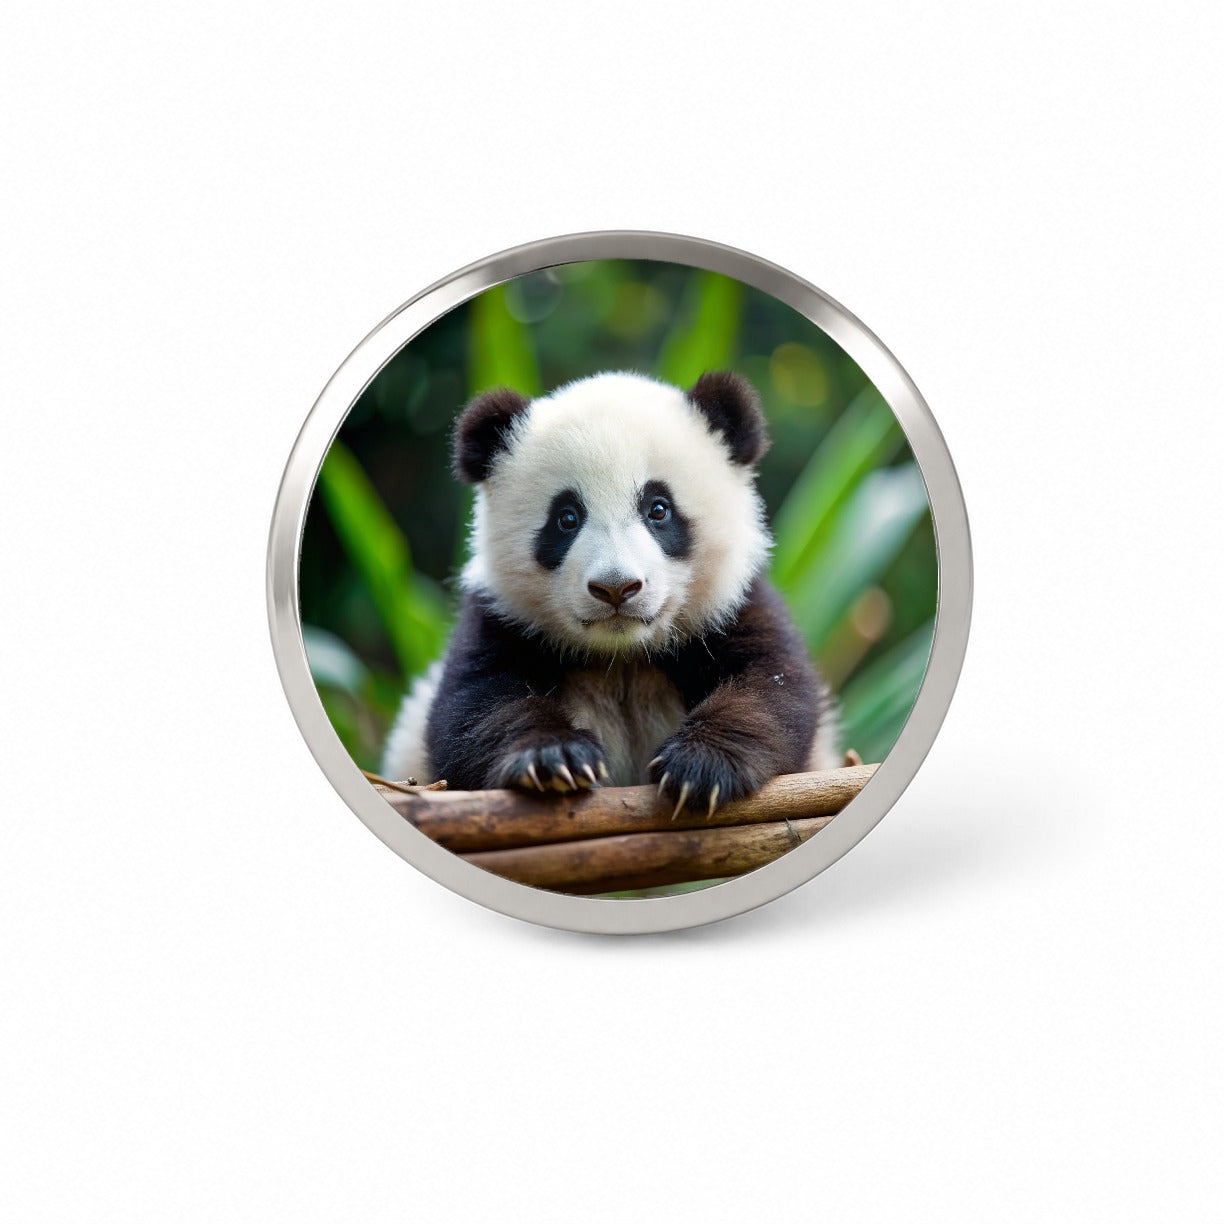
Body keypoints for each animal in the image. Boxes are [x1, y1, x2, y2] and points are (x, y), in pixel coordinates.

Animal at [381, 369, 838, 817]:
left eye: (658, 509)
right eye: (566, 517)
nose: (616, 587)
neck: (622, 656)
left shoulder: (732, 605)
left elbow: (771, 689)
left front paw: (701, 766)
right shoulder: (503, 620)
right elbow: (475, 711)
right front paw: (555, 759)